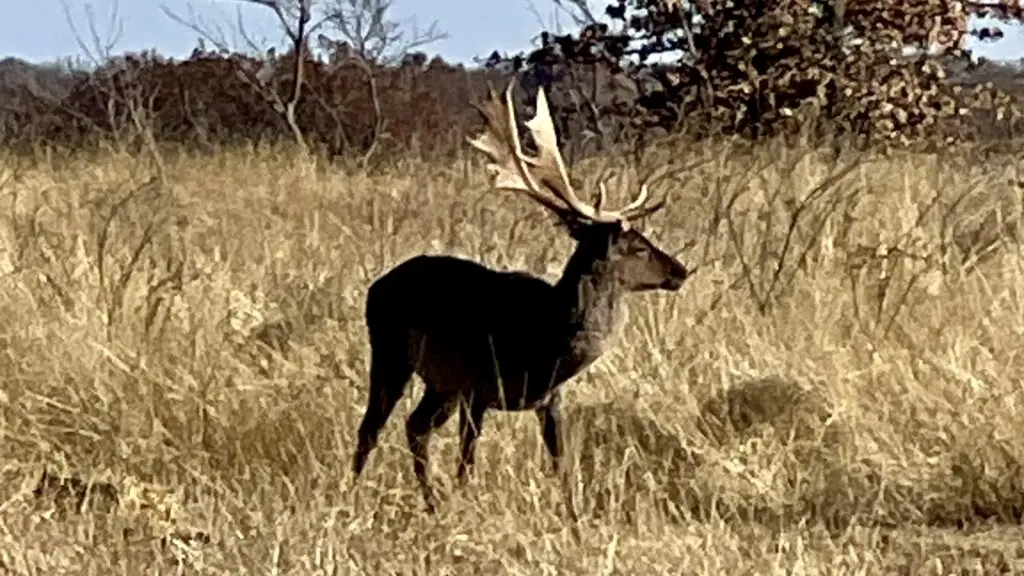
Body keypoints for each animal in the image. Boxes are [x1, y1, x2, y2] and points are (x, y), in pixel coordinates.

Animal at [351, 79, 690, 513]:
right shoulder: (478, 385)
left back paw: (430, 501)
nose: (680, 271)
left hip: (440, 382)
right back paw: (354, 493)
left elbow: (563, 466)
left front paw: (574, 515)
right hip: (392, 353)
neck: (545, 345)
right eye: (638, 246)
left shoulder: (549, 401)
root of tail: (376, 286)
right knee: (372, 427)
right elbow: (467, 465)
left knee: (415, 426)